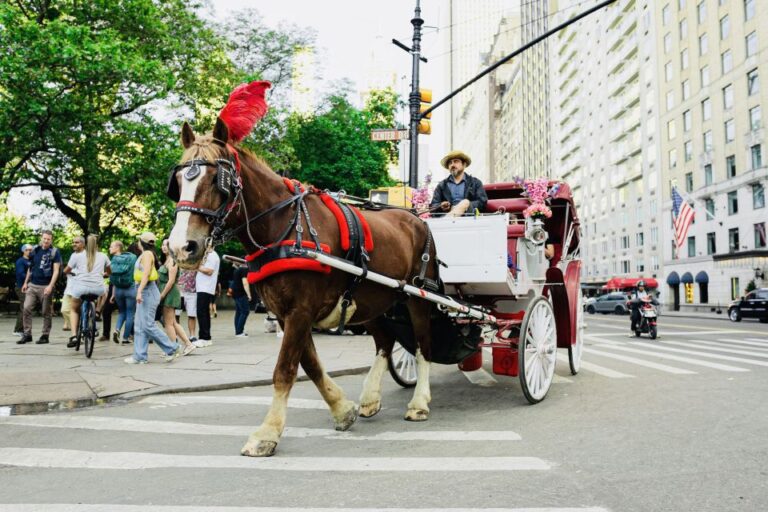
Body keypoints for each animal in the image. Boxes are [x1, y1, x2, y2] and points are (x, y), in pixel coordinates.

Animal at [168, 117, 438, 456]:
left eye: (219, 179)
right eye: (179, 180)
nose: (181, 247)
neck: (285, 227)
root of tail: (418, 218)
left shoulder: (300, 310)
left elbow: (285, 369)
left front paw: (267, 433)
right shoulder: (288, 314)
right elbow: (309, 364)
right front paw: (342, 409)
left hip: (419, 296)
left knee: (423, 345)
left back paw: (419, 402)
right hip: (372, 300)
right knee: (386, 343)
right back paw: (370, 398)